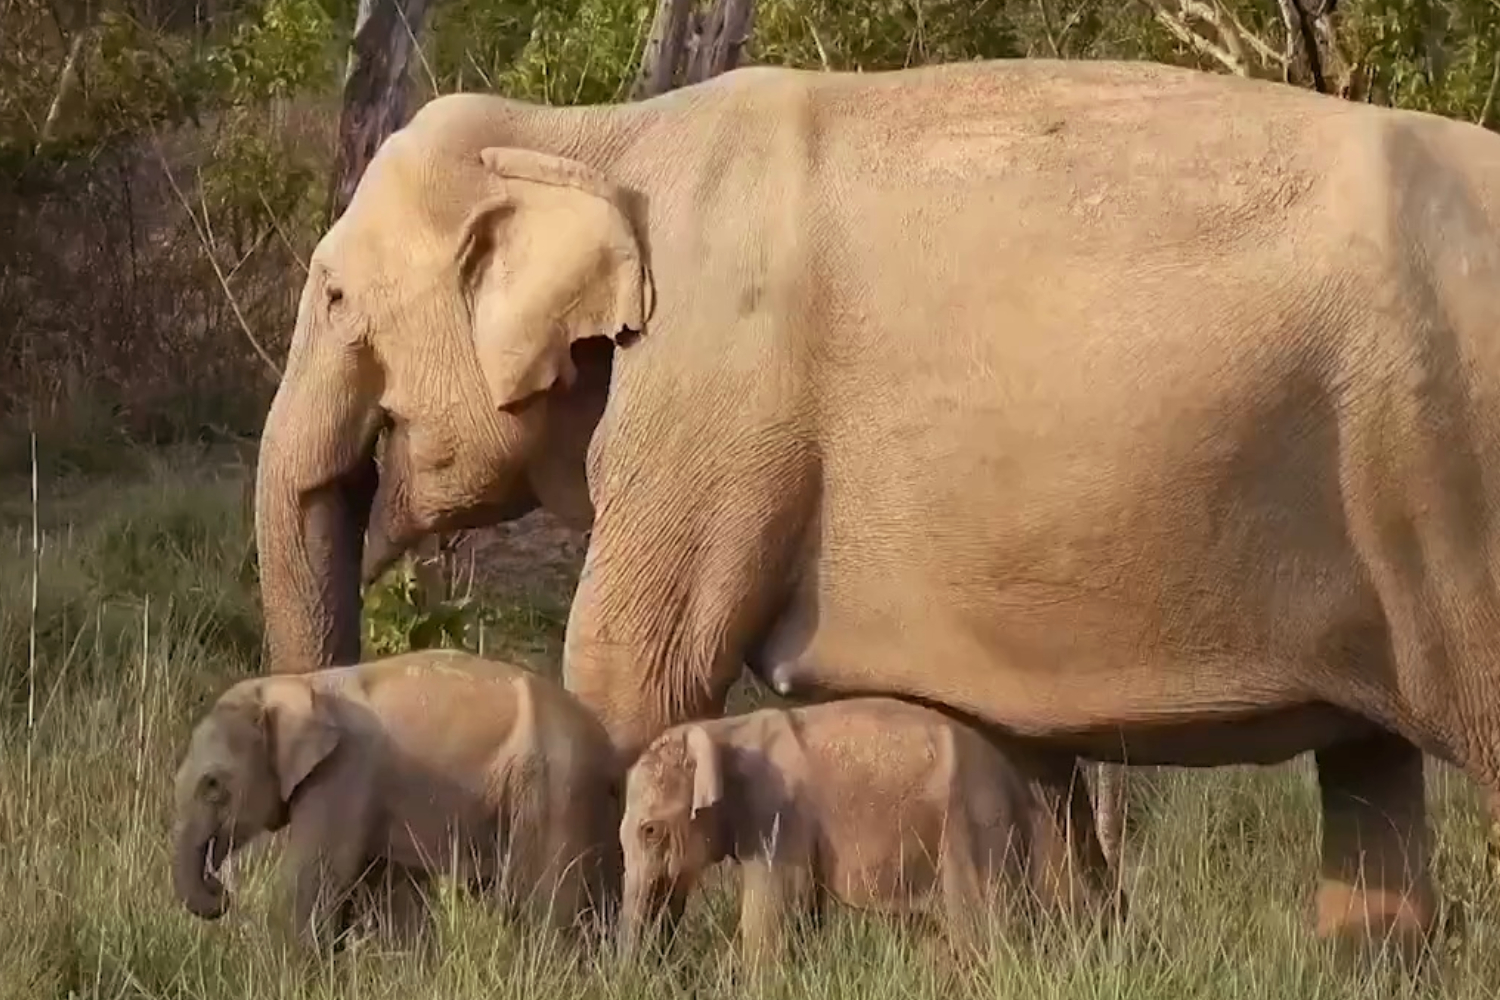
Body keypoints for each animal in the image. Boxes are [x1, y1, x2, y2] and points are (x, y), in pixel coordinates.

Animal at [171, 649, 623, 950]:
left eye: (212, 784)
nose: (221, 893)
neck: (298, 684)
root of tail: (610, 749)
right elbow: (392, 890)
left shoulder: (345, 773)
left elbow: (309, 879)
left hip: (556, 788)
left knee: (548, 899)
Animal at [617, 697, 1124, 967]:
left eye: (650, 830)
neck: (723, 730)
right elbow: (805, 912)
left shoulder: (778, 816)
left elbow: (770, 918)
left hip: (975, 818)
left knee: (978, 923)